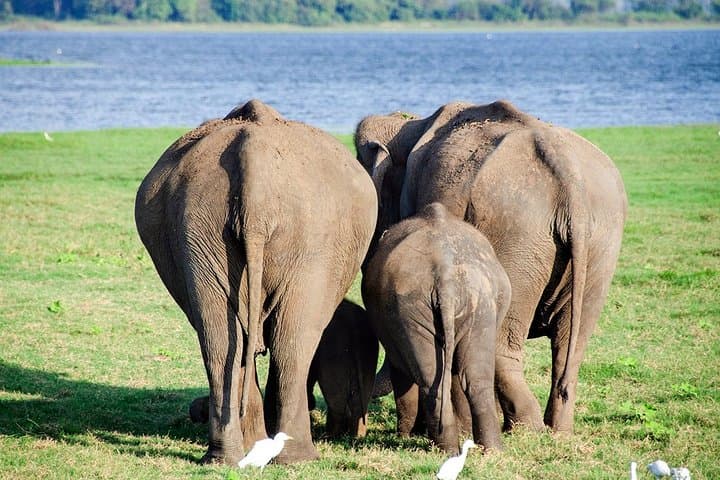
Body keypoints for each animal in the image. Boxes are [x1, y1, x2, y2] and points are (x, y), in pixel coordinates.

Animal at [307, 299, 379, 438]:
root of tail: (354, 331)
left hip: (334, 353)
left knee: (336, 400)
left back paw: (330, 436)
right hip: (368, 358)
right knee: (361, 399)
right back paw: (357, 437)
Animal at [362, 202, 511, 453]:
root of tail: (446, 275)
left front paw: (405, 437)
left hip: (429, 308)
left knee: (437, 379)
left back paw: (453, 448)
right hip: (469, 306)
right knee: (472, 379)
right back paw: (482, 450)